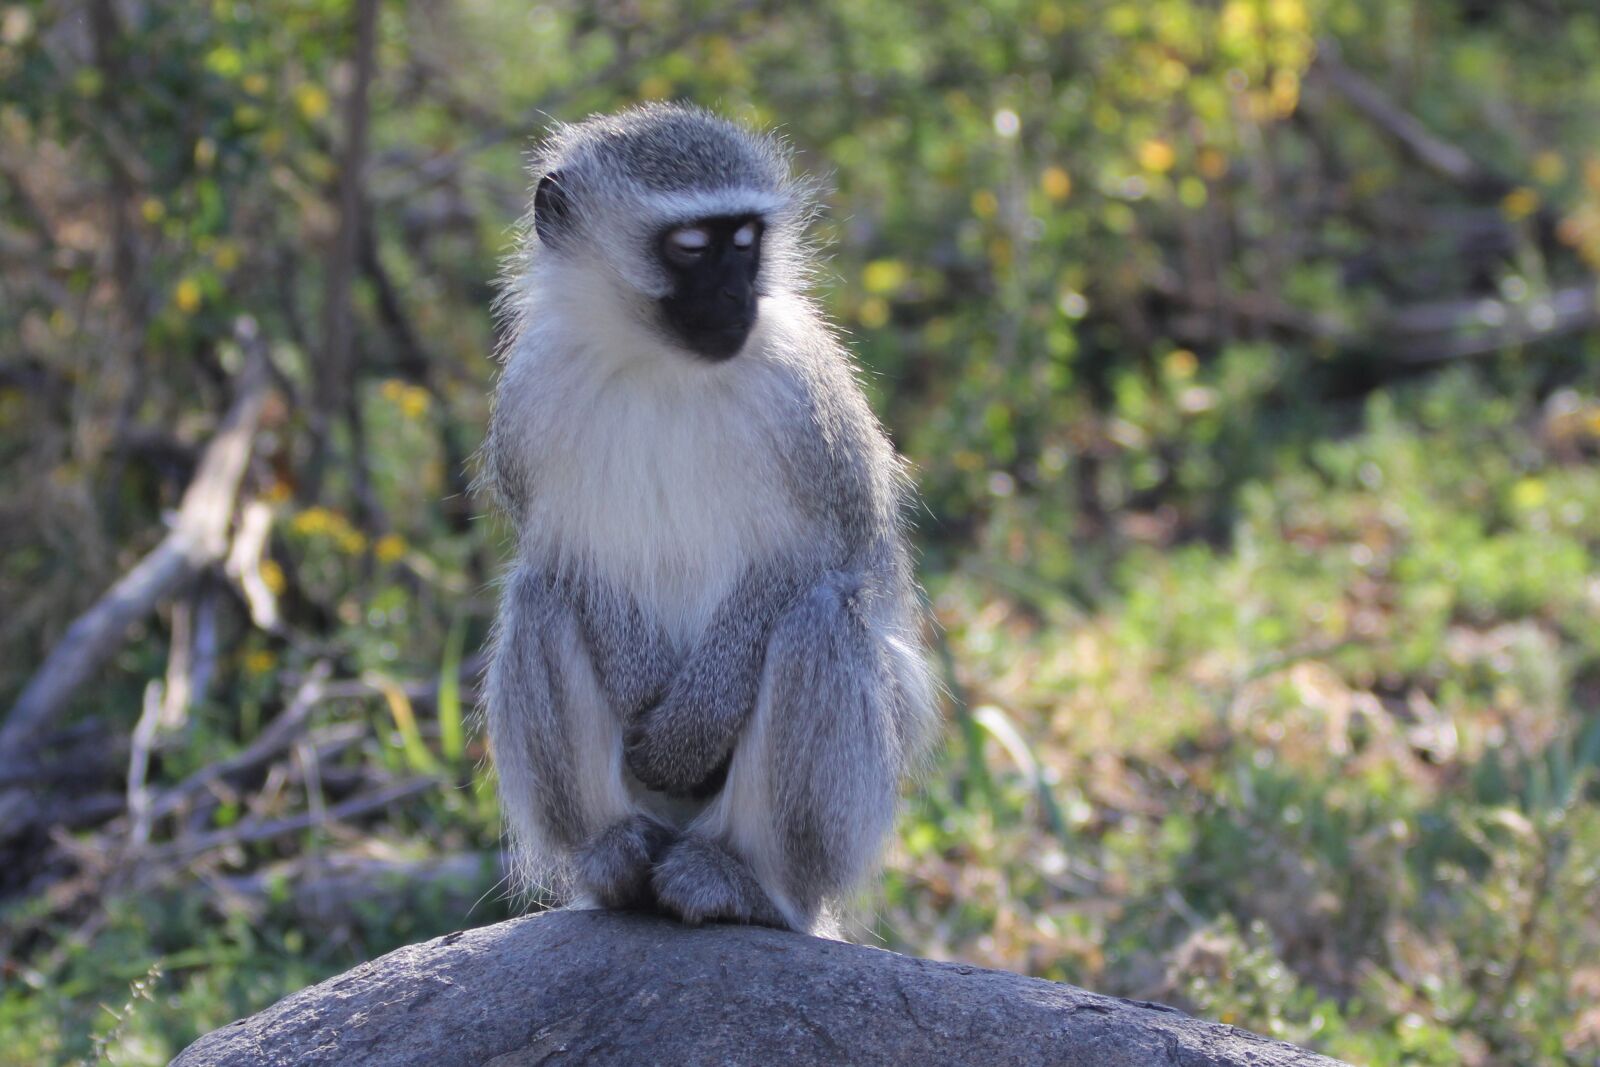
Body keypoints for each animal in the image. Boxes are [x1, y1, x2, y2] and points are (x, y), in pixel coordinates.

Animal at [482, 103, 935, 936]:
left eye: (747, 242)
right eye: (692, 247)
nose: (736, 302)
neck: (658, 361)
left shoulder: (805, 403)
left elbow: (813, 563)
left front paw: (688, 734)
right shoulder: (527, 402)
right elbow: (569, 562)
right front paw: (644, 703)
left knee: (821, 619)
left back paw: (747, 884)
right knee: (539, 596)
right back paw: (613, 857)